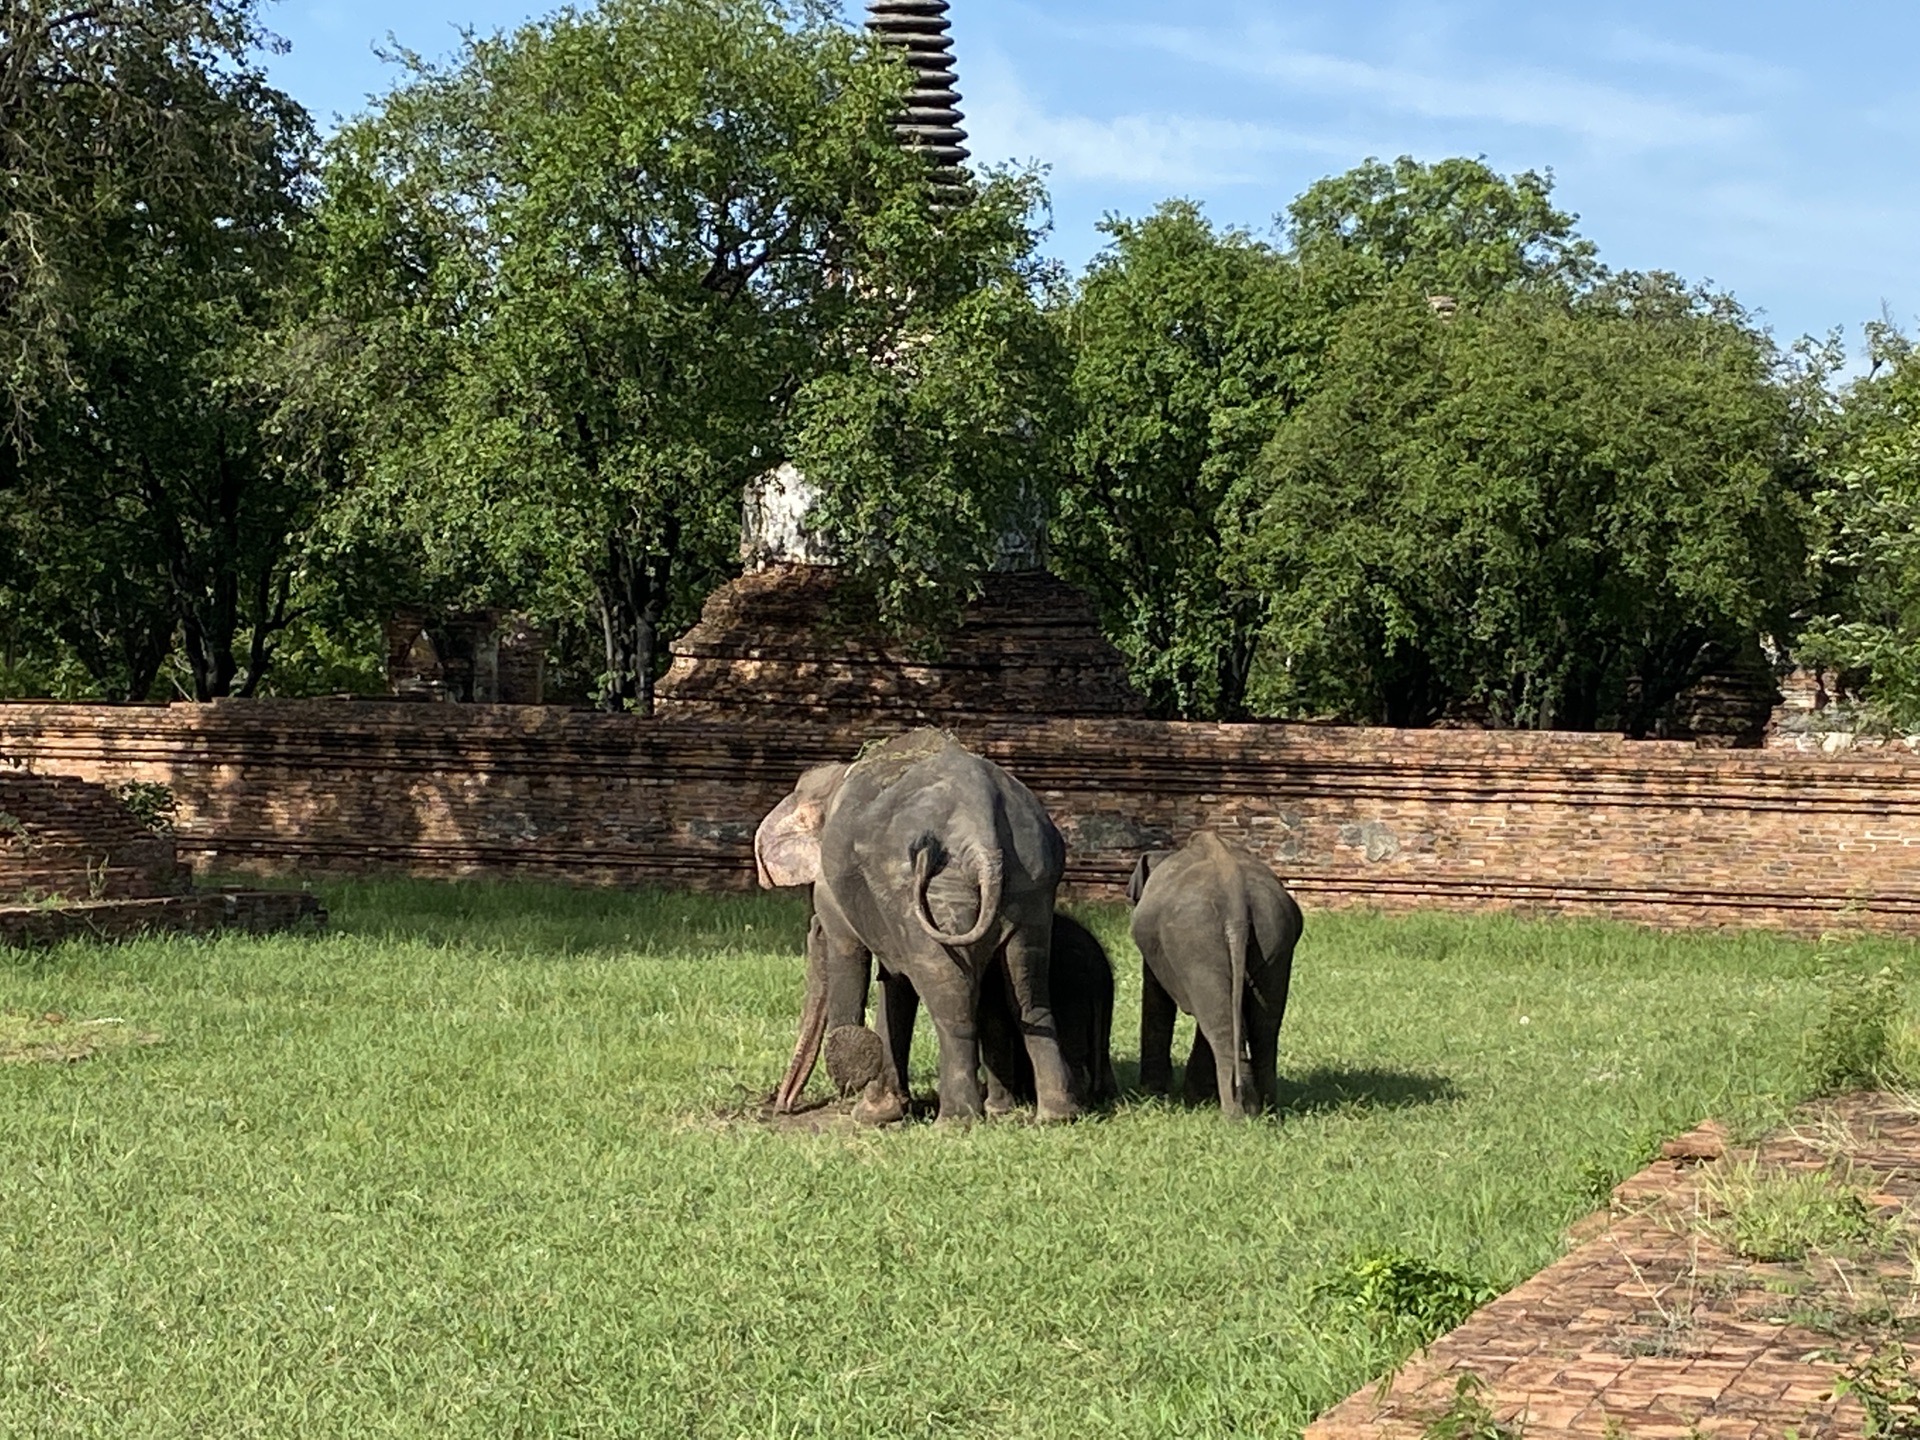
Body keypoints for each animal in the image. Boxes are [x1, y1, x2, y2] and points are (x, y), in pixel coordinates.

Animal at [752, 733, 1082, 1128]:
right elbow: (895, 981)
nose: (780, 1107)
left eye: (814, 929)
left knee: (949, 997)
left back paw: (955, 1121)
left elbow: (852, 957)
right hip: (1029, 887)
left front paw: (865, 1108)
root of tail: (982, 831)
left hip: (937, 892)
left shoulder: (838, 888)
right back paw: (1050, 1116)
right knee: (1029, 994)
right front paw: (885, 1109)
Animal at [1121, 829, 1305, 1121]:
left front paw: (1152, 1094)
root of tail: (1236, 898)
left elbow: (1157, 998)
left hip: (1196, 938)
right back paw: (1263, 1109)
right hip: (1274, 936)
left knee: (1221, 1024)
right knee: (1263, 1025)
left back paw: (1236, 1113)